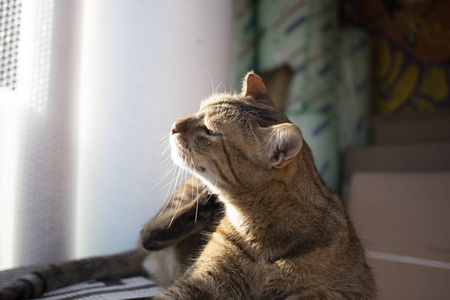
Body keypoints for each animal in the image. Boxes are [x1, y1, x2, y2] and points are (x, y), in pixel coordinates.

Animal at [0, 73, 374, 300]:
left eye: (209, 129)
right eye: (197, 111)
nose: (174, 124)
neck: (261, 231)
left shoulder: (344, 292)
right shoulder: (201, 281)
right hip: (184, 197)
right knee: (147, 234)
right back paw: (200, 211)